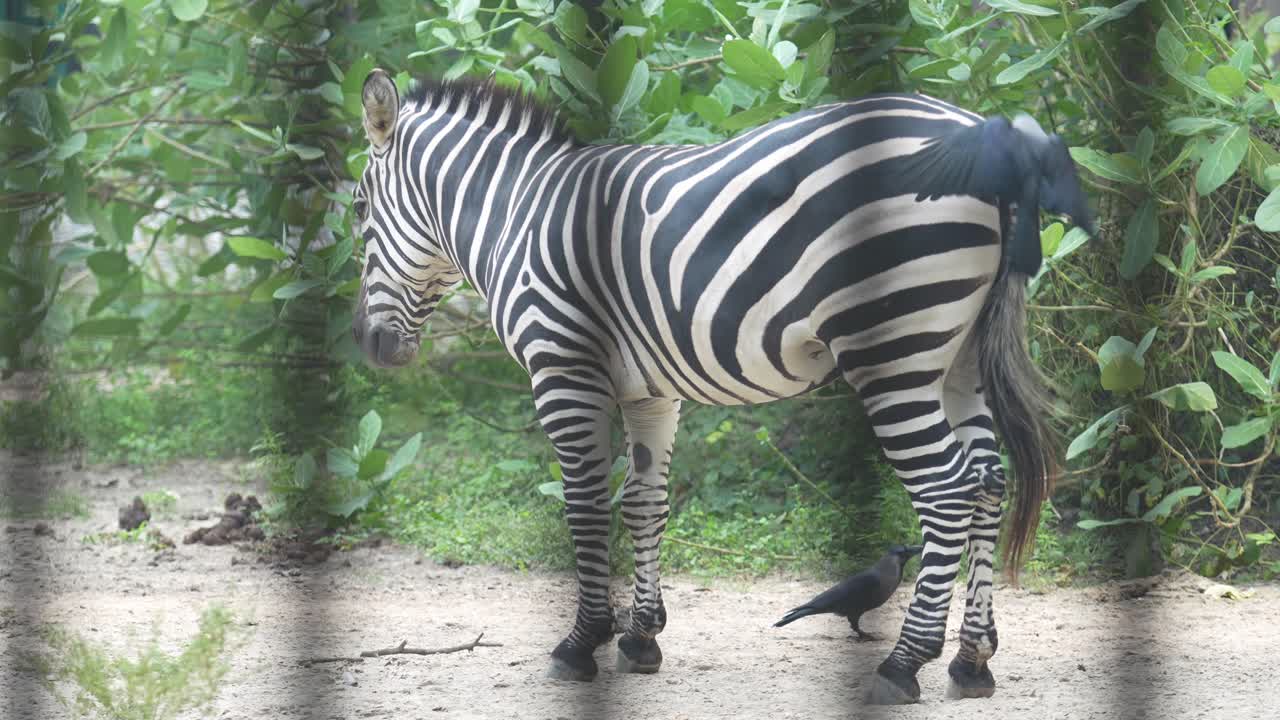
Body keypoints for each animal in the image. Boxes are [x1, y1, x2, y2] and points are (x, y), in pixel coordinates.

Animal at [350, 69, 1090, 704]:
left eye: (358, 215)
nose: (368, 343)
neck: (518, 216)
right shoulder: (650, 390)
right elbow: (644, 502)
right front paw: (640, 637)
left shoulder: (563, 367)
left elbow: (584, 507)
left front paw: (581, 642)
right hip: (958, 355)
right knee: (988, 483)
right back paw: (971, 659)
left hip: (893, 348)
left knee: (947, 490)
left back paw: (904, 662)